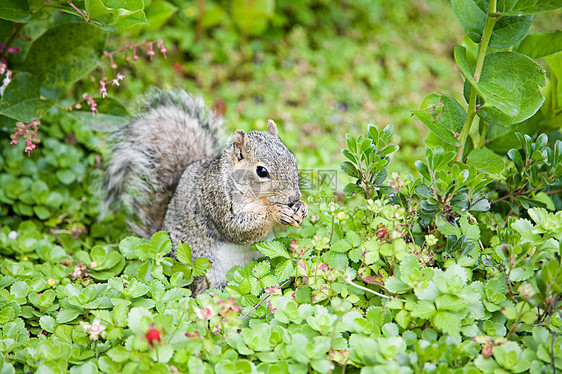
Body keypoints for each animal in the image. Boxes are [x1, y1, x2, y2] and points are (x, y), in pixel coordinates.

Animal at [101, 90, 306, 296]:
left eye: (293, 158)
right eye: (262, 171)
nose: (294, 197)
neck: (257, 197)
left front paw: (301, 208)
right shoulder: (216, 200)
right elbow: (237, 228)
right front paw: (275, 212)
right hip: (206, 272)